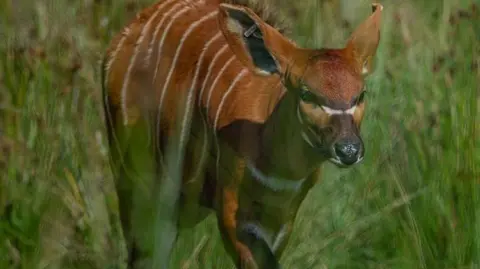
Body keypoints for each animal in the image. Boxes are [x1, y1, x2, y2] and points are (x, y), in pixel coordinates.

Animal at [101, 0, 382, 266]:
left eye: (360, 95)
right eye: (307, 94)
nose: (348, 150)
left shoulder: (282, 218)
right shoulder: (232, 211)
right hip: (137, 185)